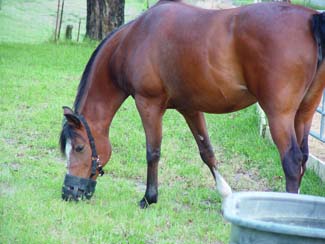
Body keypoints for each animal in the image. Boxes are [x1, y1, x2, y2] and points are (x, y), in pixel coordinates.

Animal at [59, 0, 324, 208]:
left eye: (80, 148)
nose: (69, 192)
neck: (134, 39)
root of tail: (310, 18)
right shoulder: (190, 108)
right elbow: (206, 151)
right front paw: (225, 194)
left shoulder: (148, 104)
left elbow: (152, 152)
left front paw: (149, 198)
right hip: (304, 114)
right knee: (303, 157)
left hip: (279, 114)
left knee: (292, 161)